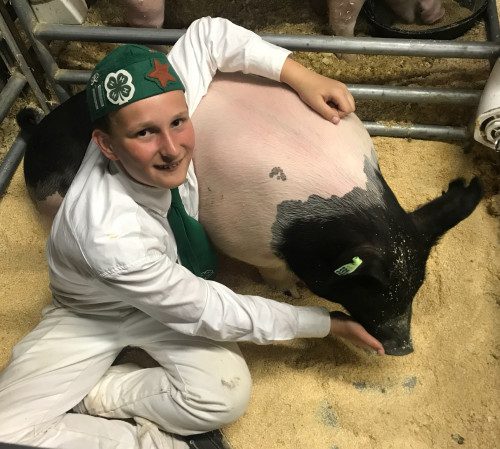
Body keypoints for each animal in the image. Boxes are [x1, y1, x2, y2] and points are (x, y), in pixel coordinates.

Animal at [18, 72, 480, 356]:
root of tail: (34, 135)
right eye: (370, 288)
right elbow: (272, 276)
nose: (403, 348)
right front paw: (291, 291)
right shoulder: (243, 235)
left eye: (416, 285)